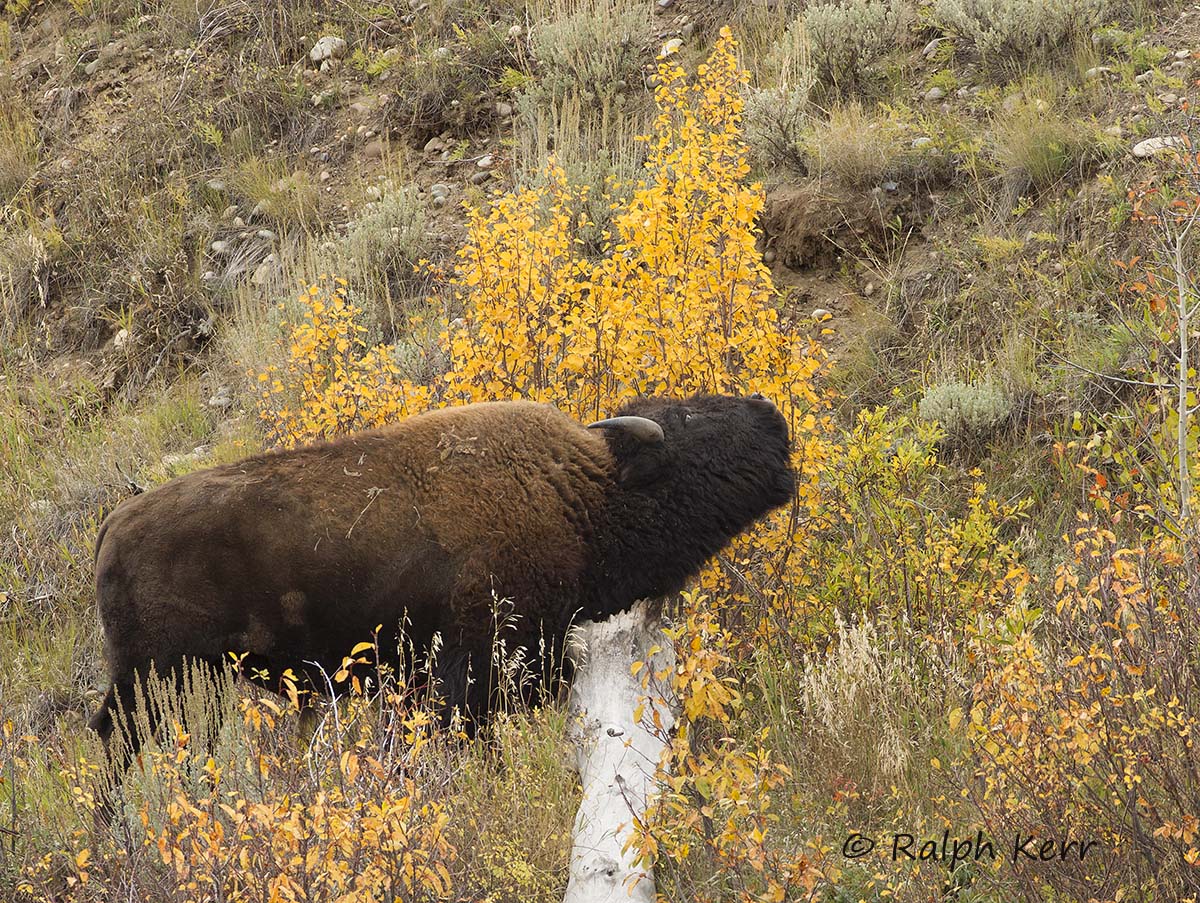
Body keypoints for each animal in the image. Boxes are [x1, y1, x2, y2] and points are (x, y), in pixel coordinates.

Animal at [90, 393, 794, 780]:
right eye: (695, 417)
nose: (771, 414)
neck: (588, 495)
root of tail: (112, 527)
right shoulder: (469, 672)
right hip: (152, 679)